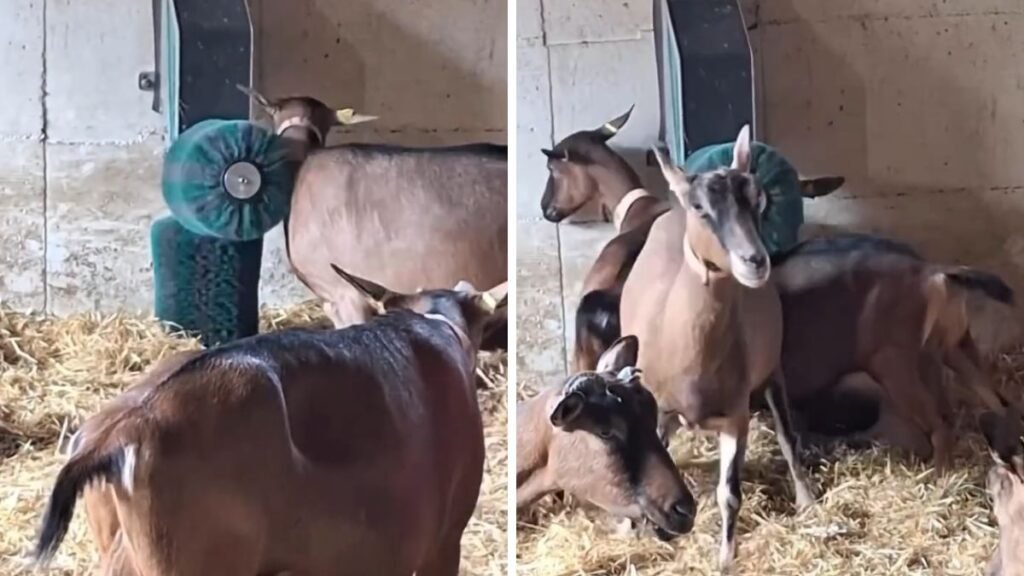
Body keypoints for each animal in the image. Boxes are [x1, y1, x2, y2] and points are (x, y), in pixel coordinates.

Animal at [619, 128, 815, 569]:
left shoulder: (736, 417)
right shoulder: (654, 408)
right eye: (700, 206)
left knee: (787, 434)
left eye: (758, 199)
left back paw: (807, 498)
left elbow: (730, 494)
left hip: (771, 370)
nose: (754, 261)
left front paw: (725, 560)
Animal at [771, 233, 1015, 470]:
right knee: (996, 403)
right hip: (951, 346)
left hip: (894, 365)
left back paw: (939, 477)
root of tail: (931, 271)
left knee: (940, 426)